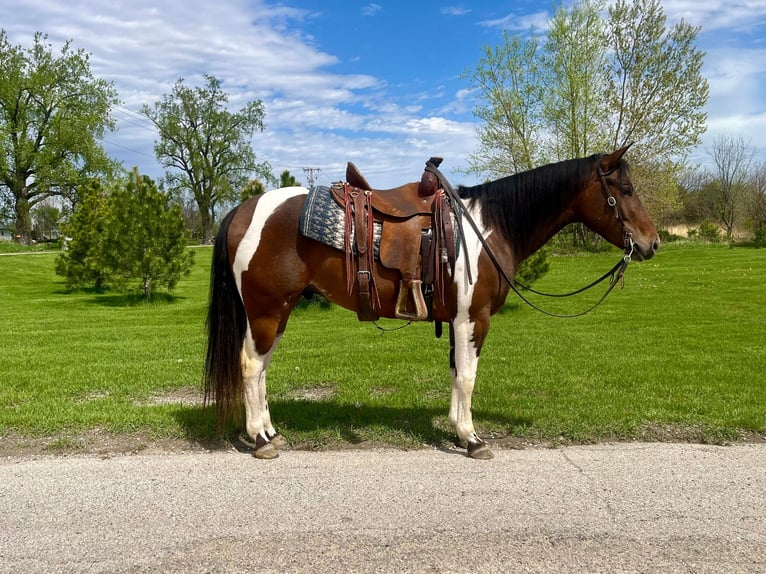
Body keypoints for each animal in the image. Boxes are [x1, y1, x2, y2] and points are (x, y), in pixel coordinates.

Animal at [204, 148, 660, 464]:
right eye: (625, 190)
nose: (652, 243)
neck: (488, 228)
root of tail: (244, 208)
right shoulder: (473, 320)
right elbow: (468, 379)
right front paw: (473, 440)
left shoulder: (459, 322)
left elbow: (458, 375)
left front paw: (459, 431)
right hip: (267, 310)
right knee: (251, 366)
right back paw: (260, 440)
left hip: (277, 312)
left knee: (262, 369)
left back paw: (270, 432)